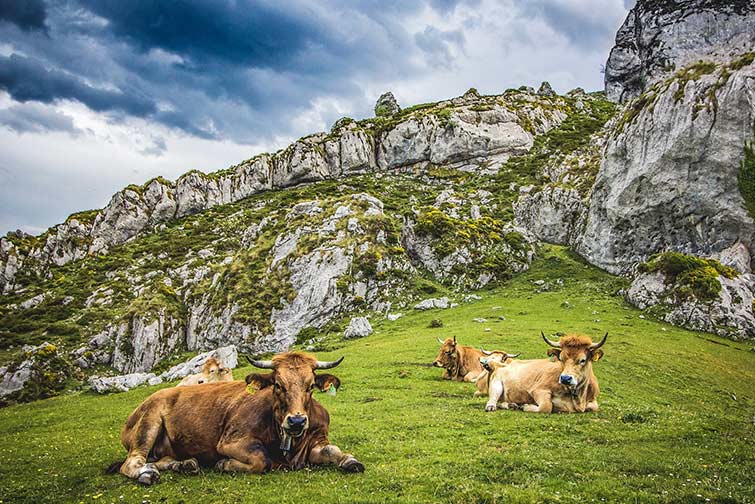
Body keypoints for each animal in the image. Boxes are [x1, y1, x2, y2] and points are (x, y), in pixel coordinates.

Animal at [108, 350, 364, 484]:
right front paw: (224, 464)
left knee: (161, 459)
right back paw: (147, 473)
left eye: (310, 386)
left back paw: (185, 464)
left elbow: (332, 450)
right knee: (133, 461)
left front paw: (350, 460)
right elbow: (261, 459)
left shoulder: (318, 439)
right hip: (148, 423)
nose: (297, 421)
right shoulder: (231, 441)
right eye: (277, 385)